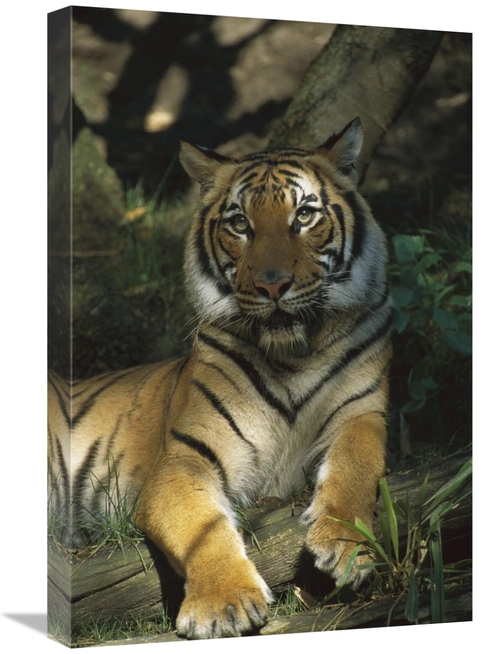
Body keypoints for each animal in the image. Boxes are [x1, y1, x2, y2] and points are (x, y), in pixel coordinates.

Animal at [48, 117, 393, 640]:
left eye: (304, 216)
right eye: (240, 224)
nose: (272, 284)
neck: (292, 354)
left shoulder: (362, 412)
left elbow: (356, 466)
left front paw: (346, 546)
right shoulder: (183, 458)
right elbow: (202, 527)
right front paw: (222, 604)